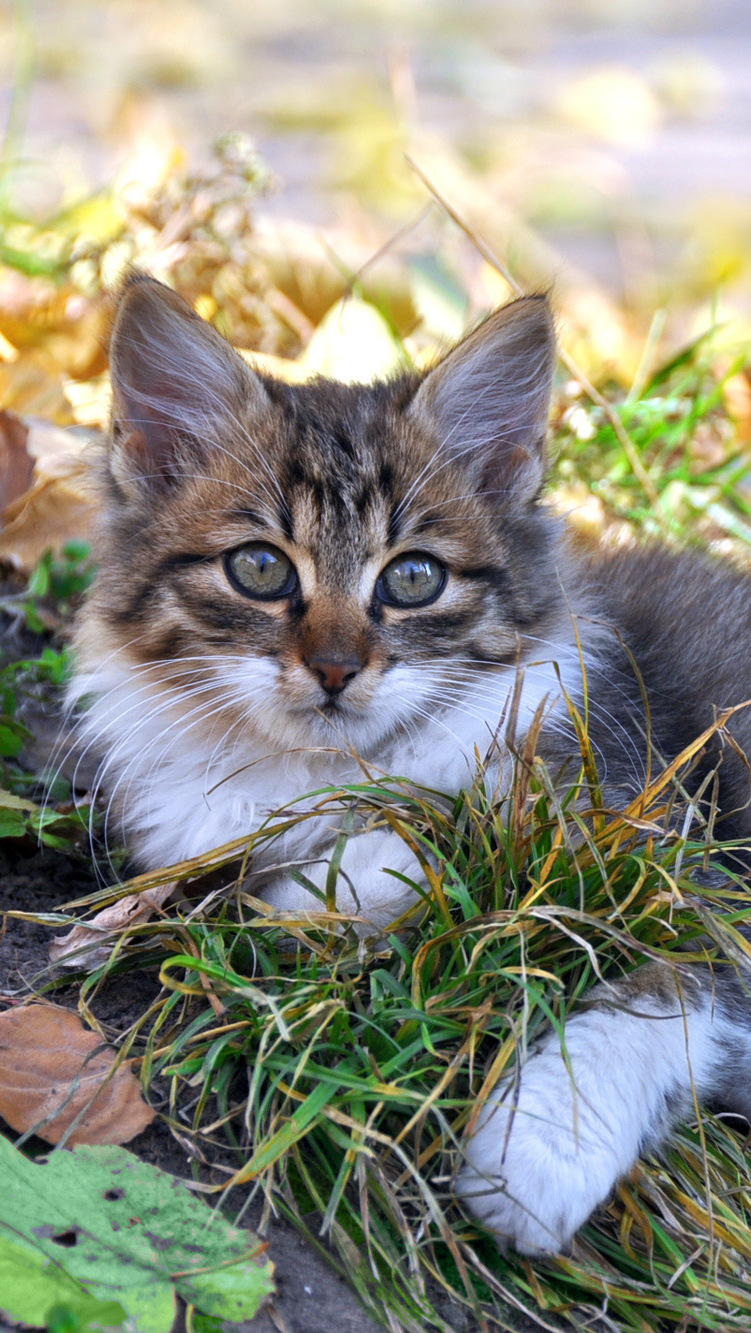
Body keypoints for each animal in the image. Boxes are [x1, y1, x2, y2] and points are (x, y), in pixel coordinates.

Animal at [72, 273, 751, 1258]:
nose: (334, 668)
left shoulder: (684, 866)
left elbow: (653, 992)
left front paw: (538, 1150)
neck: (324, 773)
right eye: (259, 568)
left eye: (413, 578)